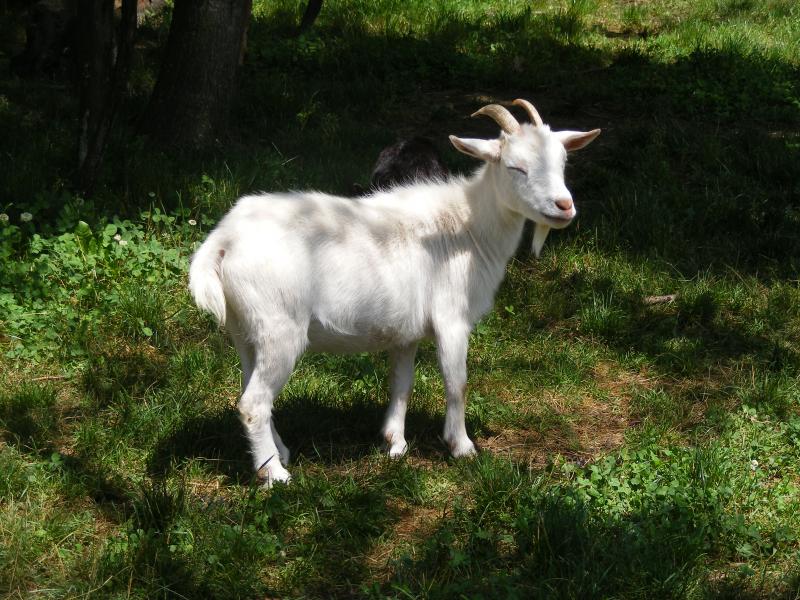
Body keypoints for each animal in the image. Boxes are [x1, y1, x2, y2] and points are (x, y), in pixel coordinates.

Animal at [189, 99, 600, 486]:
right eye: (515, 167)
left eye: (563, 162)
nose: (564, 206)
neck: (468, 228)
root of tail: (223, 240)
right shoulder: (451, 319)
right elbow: (457, 383)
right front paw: (462, 447)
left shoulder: (406, 330)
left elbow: (402, 383)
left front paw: (395, 444)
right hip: (280, 329)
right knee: (253, 403)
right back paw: (274, 474)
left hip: (245, 330)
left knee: (249, 389)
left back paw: (279, 453)